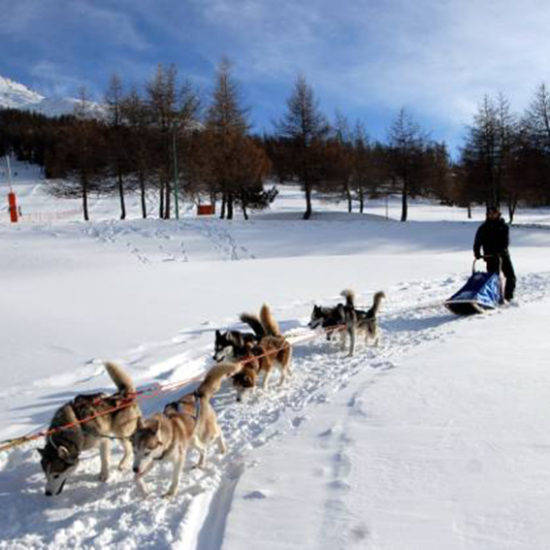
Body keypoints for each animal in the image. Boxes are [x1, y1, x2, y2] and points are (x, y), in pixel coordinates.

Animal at [36, 364, 140, 498]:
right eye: (46, 475)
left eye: (56, 475)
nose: (47, 493)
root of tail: (124, 394)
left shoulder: (103, 440)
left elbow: (104, 459)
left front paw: (104, 475)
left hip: (121, 432)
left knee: (129, 448)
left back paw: (123, 464)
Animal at [134, 366, 239, 500]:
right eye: (134, 451)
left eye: (146, 452)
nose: (134, 469)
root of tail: (198, 394)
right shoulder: (153, 461)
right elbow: (136, 478)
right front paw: (144, 490)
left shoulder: (178, 459)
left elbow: (175, 478)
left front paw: (170, 493)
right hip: (193, 440)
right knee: (204, 449)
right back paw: (200, 464)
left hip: (207, 434)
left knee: (218, 433)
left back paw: (222, 449)